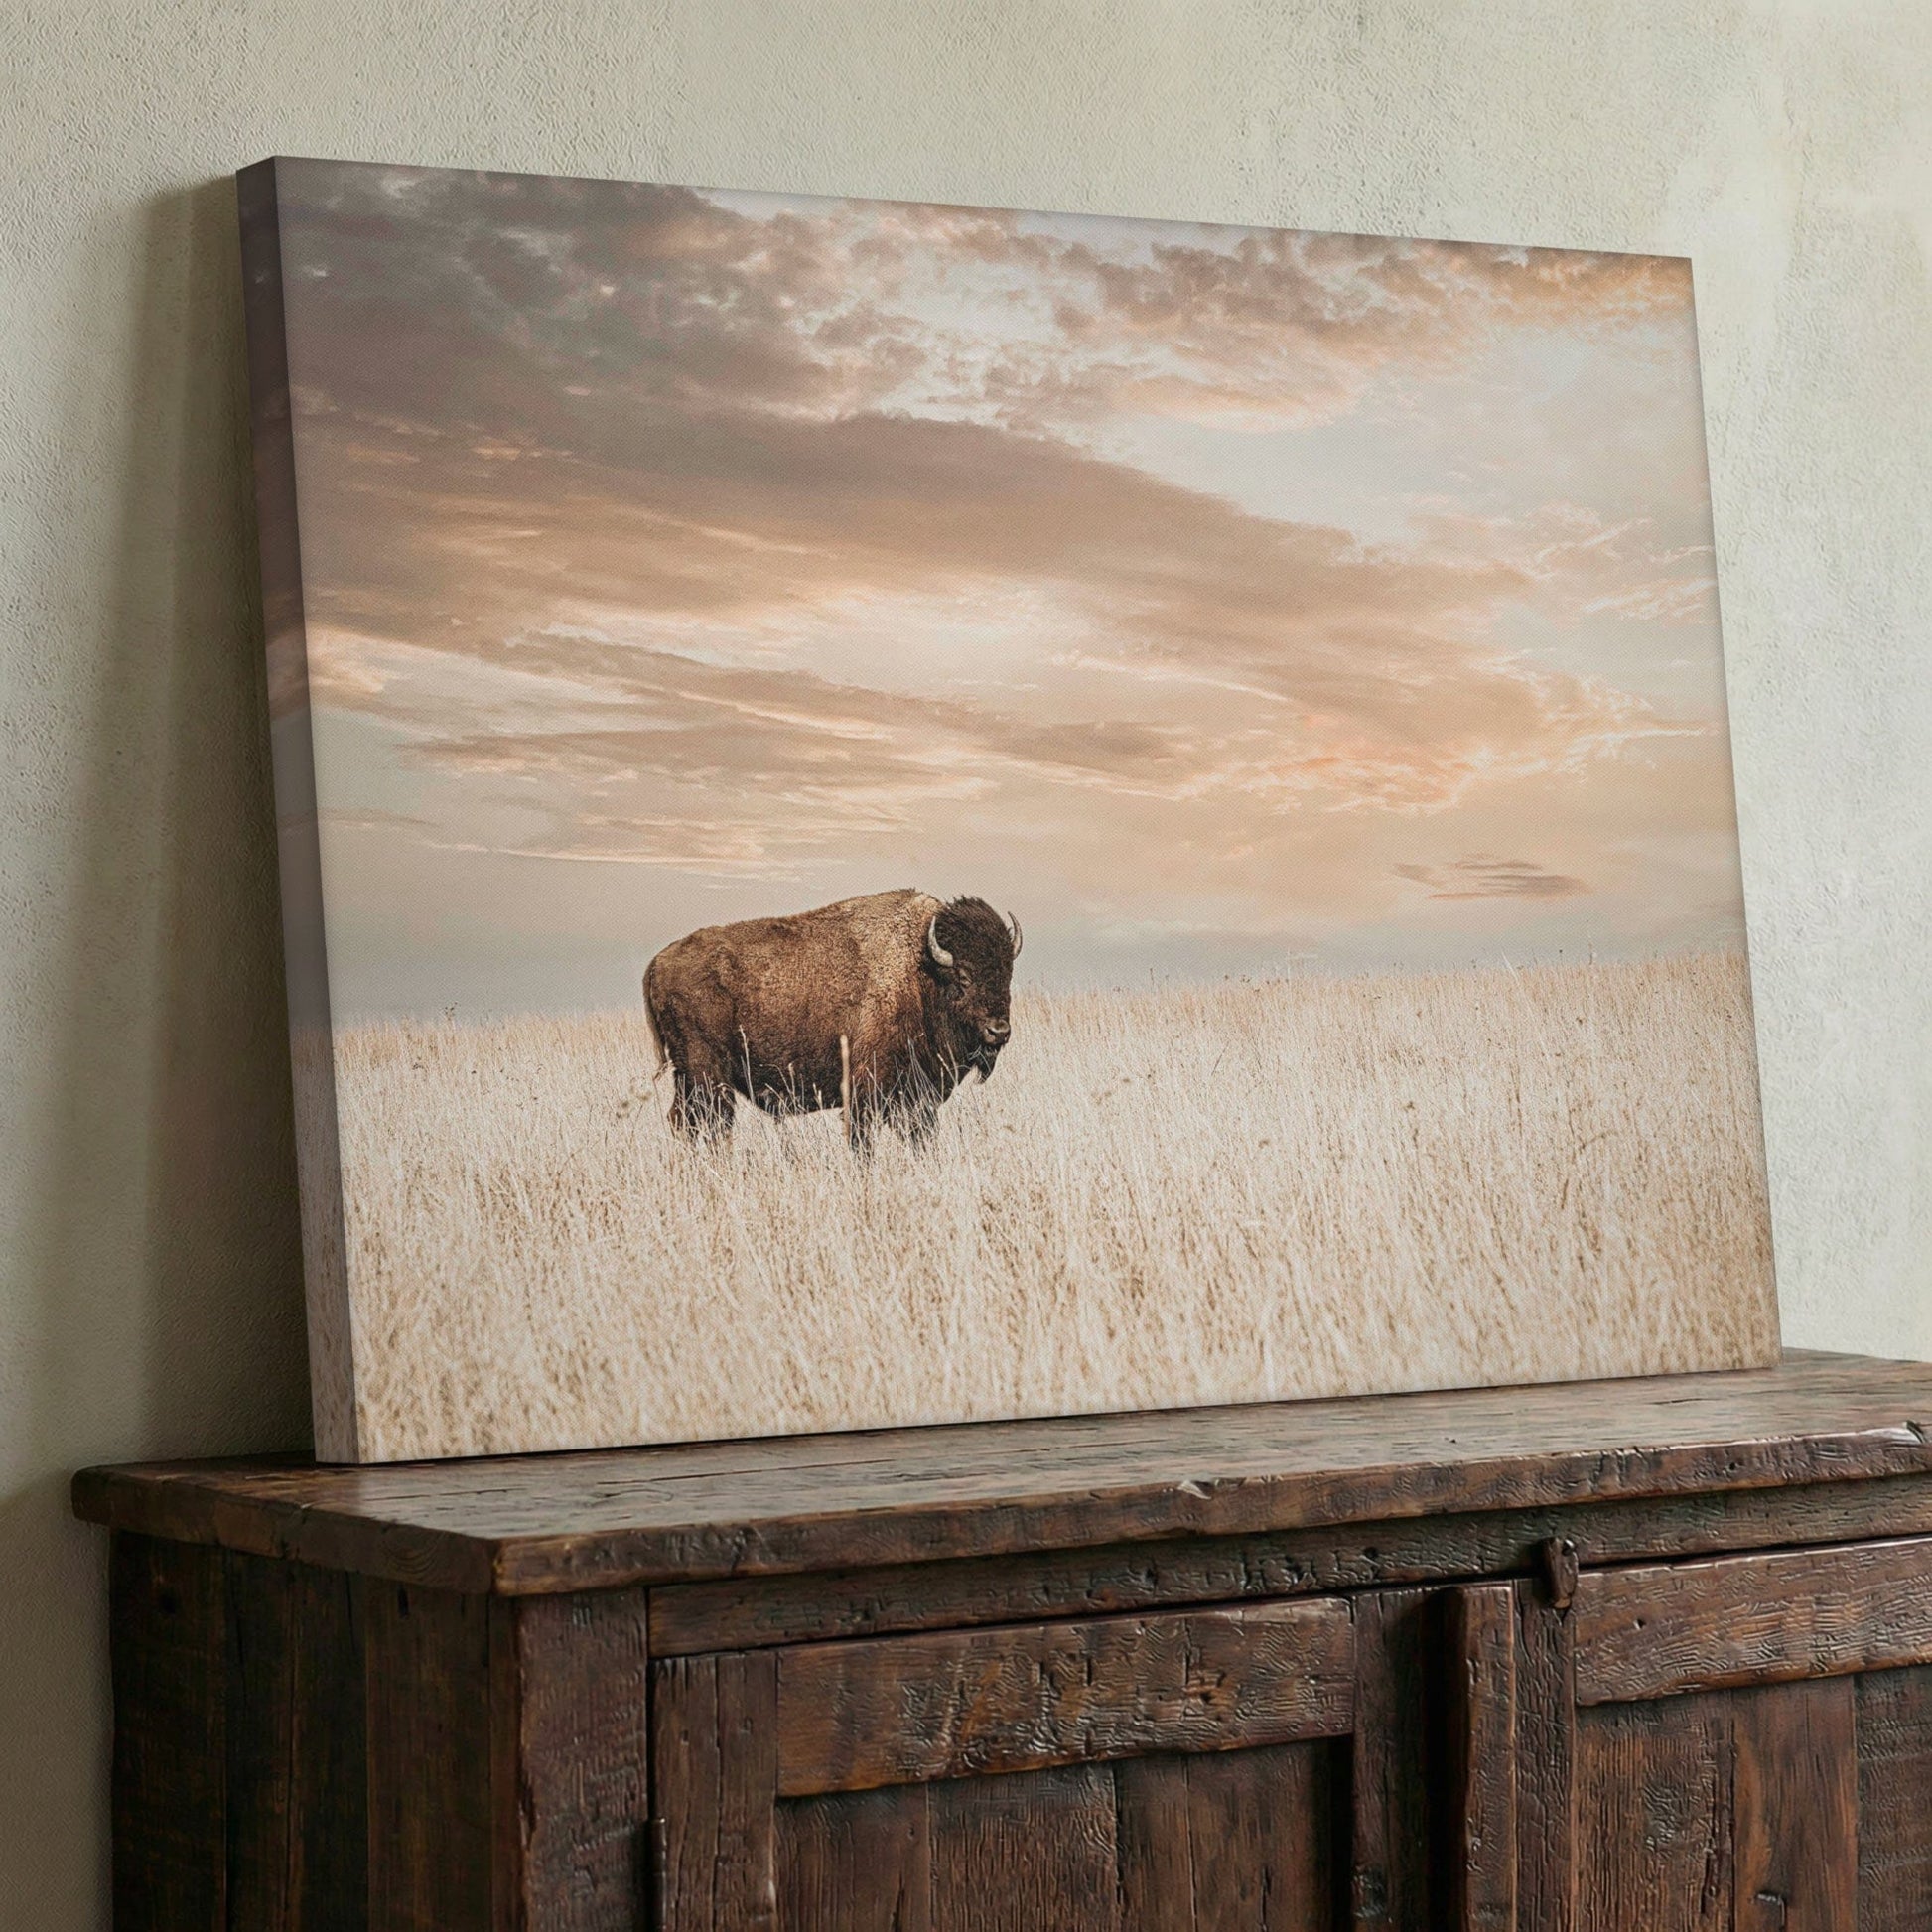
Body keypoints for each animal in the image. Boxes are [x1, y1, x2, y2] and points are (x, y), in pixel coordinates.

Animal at [642, 888, 1022, 1147]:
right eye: (964, 977)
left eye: (1007, 973)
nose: (998, 1030)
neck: (921, 971)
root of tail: (658, 962)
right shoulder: (866, 1090)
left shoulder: (916, 1099)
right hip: (706, 1075)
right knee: (711, 1123)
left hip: (689, 1079)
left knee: (686, 1122)